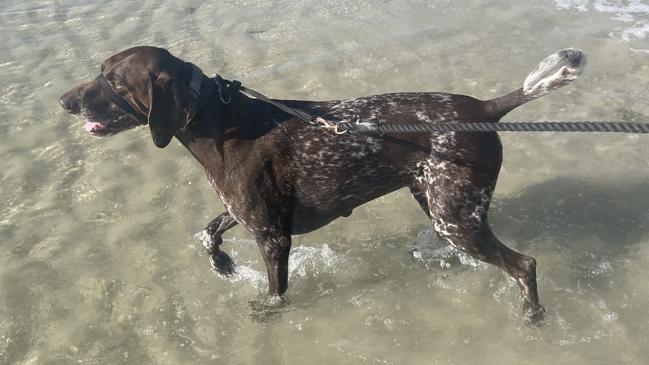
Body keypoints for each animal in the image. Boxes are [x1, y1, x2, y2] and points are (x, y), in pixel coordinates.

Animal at [60, 45, 584, 322]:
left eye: (114, 83)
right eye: (100, 73)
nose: (65, 101)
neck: (215, 118)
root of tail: (485, 109)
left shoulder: (272, 236)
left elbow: (275, 291)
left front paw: (264, 309)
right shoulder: (249, 213)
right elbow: (208, 234)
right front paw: (224, 265)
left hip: (456, 216)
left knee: (524, 265)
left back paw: (532, 314)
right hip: (439, 203)